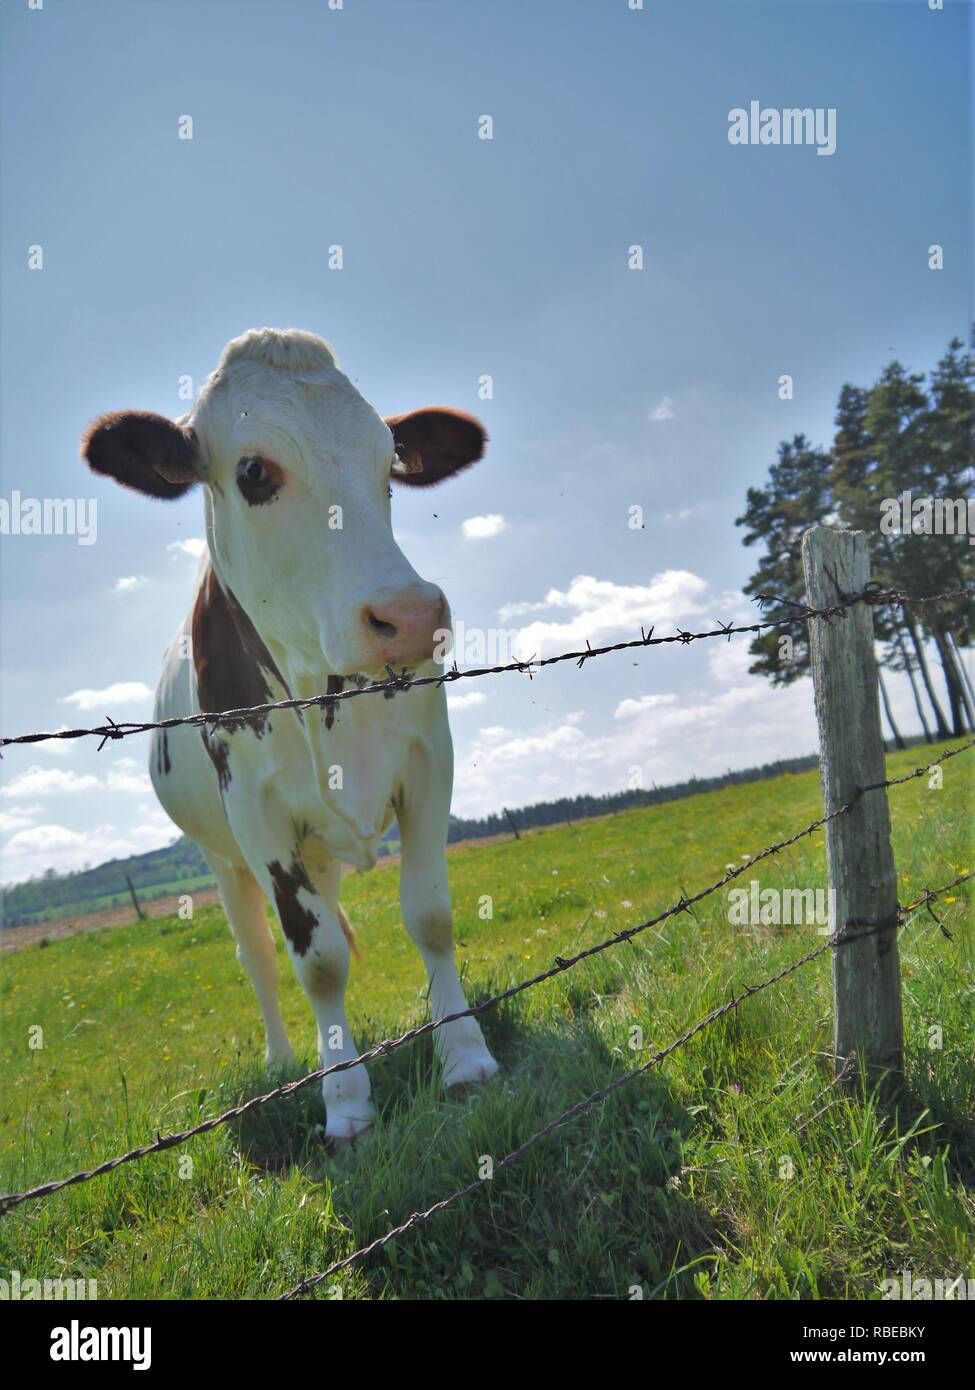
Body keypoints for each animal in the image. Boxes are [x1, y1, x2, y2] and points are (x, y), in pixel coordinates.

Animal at [83, 328, 499, 1144]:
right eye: (253, 472)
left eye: (390, 460)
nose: (410, 617)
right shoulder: (258, 816)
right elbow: (317, 962)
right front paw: (345, 1102)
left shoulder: (428, 762)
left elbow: (430, 916)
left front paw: (464, 1056)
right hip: (223, 862)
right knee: (261, 959)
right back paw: (284, 1061)